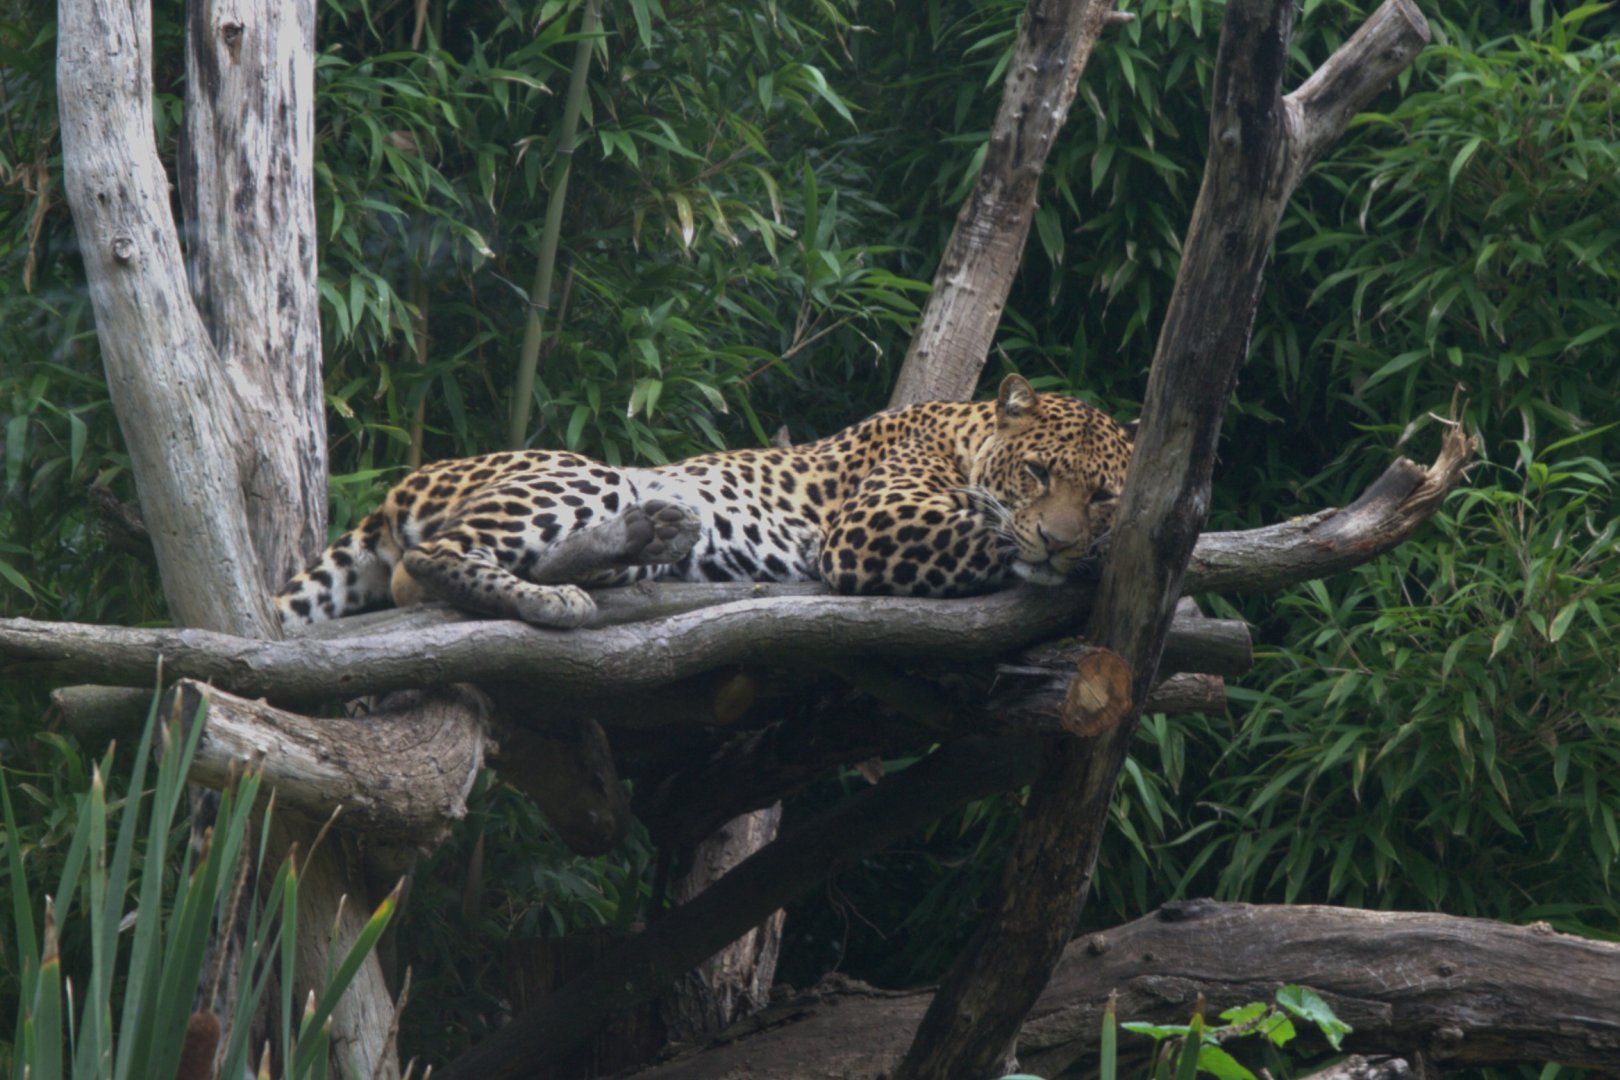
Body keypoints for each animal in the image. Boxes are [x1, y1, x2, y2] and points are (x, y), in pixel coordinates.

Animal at [274, 374, 1136, 631]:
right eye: (1037, 473)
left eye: (1101, 497)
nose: (1062, 539)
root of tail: (397, 490)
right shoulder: (870, 523)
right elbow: (991, 539)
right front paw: (1063, 560)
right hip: (577, 471)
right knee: (425, 563)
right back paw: (550, 601)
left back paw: (648, 538)